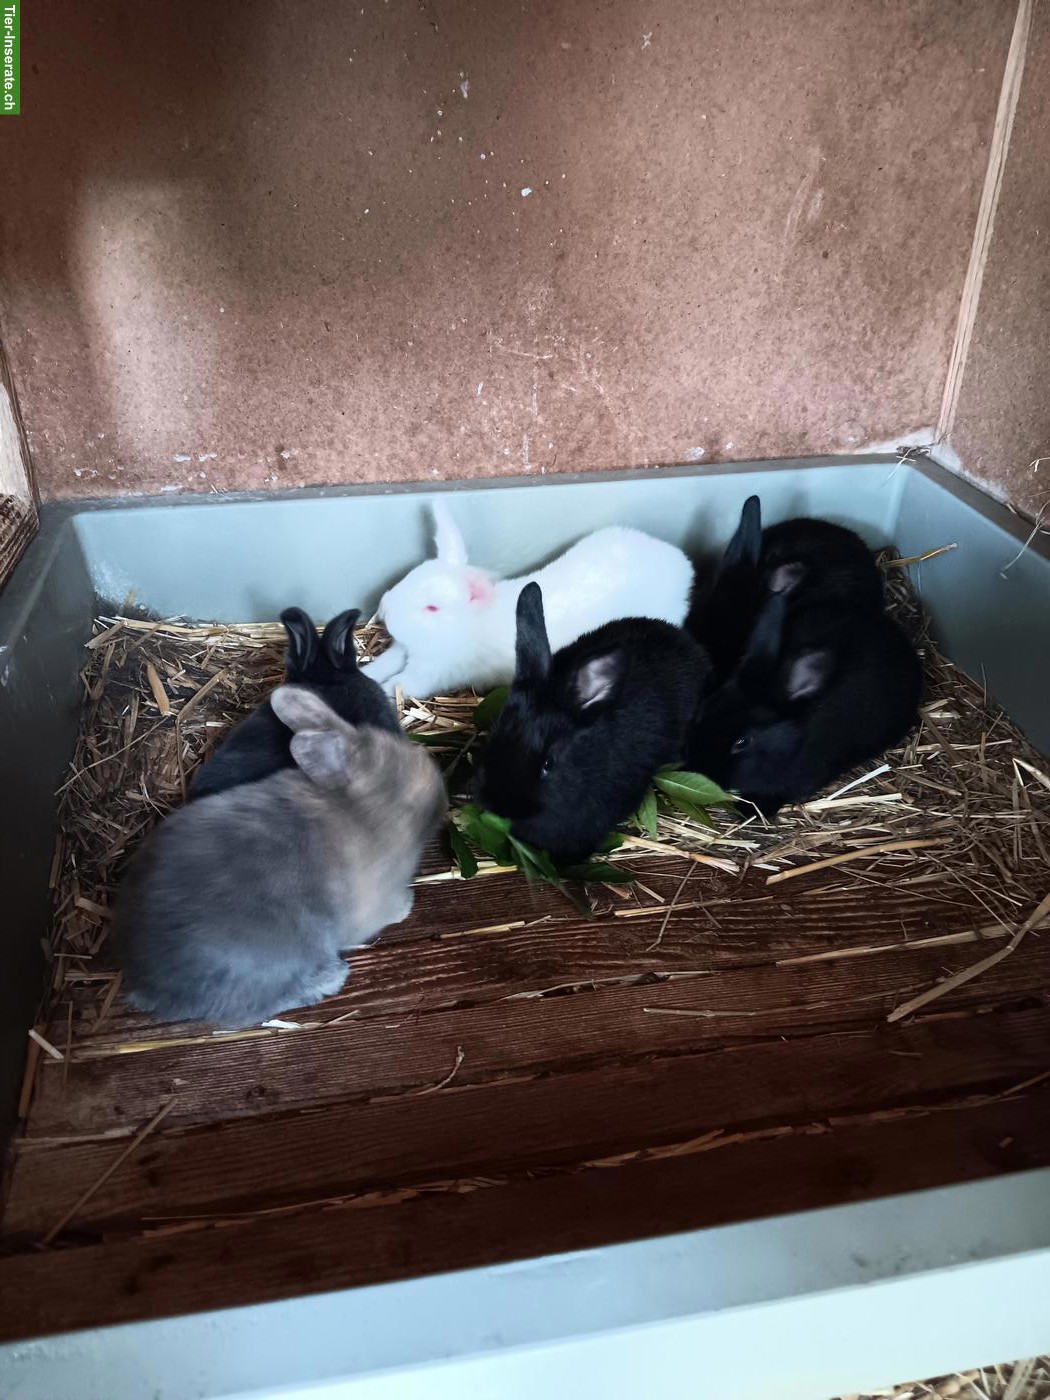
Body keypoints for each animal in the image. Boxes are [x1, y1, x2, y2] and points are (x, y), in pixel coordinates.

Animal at [112, 686, 447, 1028]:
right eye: (413, 793)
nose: (441, 799)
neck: (366, 807)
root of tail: (146, 985)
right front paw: (407, 905)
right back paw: (331, 978)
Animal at [361, 499, 695, 701]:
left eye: (432, 608)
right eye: (410, 575)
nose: (385, 610)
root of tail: (682, 564)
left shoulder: (431, 673)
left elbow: (400, 684)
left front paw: (380, 690)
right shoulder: (403, 650)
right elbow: (382, 664)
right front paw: (364, 673)